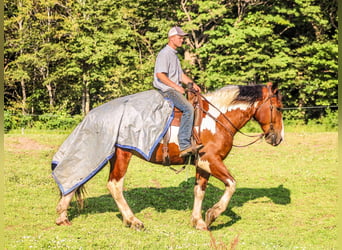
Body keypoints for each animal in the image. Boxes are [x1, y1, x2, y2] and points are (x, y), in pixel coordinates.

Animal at [56, 82, 284, 230]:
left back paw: (62, 215)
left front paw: (198, 221)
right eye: (279, 108)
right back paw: (133, 220)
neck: (216, 119)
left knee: (77, 177)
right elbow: (232, 184)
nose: (278, 138)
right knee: (114, 185)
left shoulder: (202, 164)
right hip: (122, 155)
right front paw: (213, 214)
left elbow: (199, 191)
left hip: (109, 155)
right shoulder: (211, 160)